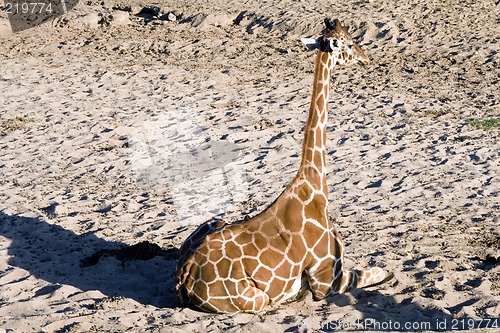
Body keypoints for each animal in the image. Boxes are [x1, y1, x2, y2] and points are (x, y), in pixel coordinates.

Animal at [176, 17, 390, 314]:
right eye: (349, 43)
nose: (366, 59)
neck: (315, 187)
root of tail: (185, 273)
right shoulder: (327, 280)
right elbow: (379, 271)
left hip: (212, 222)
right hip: (256, 298)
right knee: (267, 301)